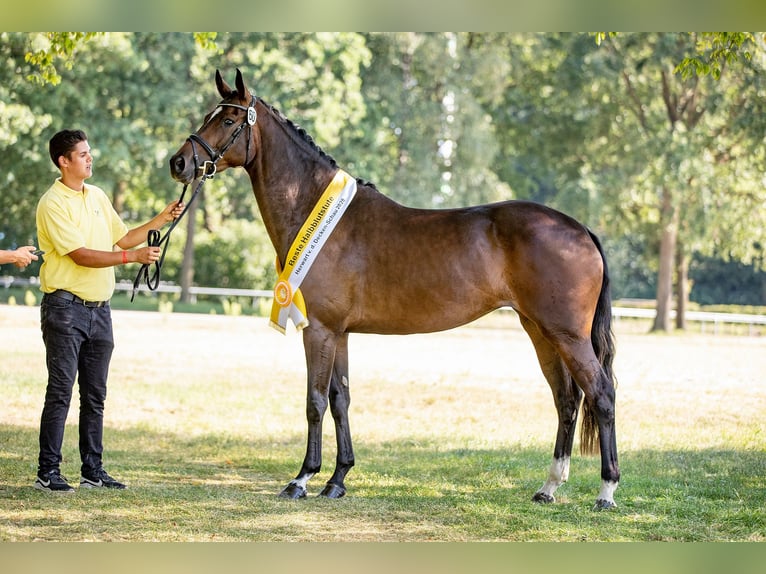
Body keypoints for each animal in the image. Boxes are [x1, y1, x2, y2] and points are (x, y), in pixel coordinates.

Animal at [169, 69, 620, 509]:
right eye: (208, 116)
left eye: (229, 120)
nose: (179, 163)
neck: (314, 208)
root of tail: (580, 229)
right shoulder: (340, 333)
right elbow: (341, 400)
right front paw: (337, 480)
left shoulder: (319, 330)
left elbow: (315, 402)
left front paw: (302, 479)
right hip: (540, 332)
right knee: (566, 400)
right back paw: (549, 487)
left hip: (567, 335)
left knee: (601, 394)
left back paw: (606, 491)